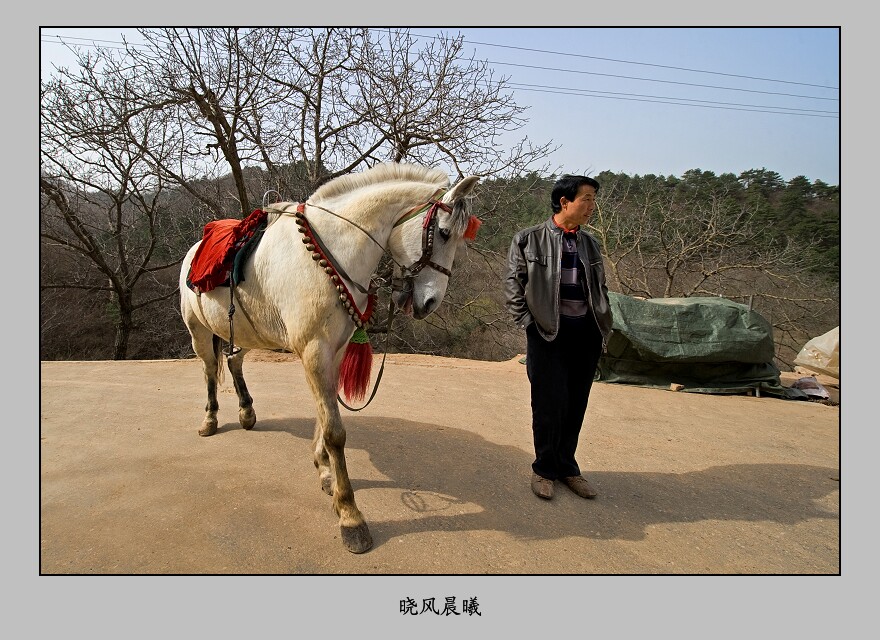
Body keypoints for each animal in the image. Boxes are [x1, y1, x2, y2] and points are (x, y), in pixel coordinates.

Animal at [179, 162, 478, 552]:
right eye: (442, 233)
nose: (429, 303)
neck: (332, 251)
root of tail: (193, 250)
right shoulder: (314, 351)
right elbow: (335, 430)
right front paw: (350, 513)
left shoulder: (333, 351)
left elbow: (324, 415)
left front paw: (323, 470)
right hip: (198, 331)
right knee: (210, 371)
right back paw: (211, 419)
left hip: (244, 332)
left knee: (233, 362)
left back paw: (246, 412)